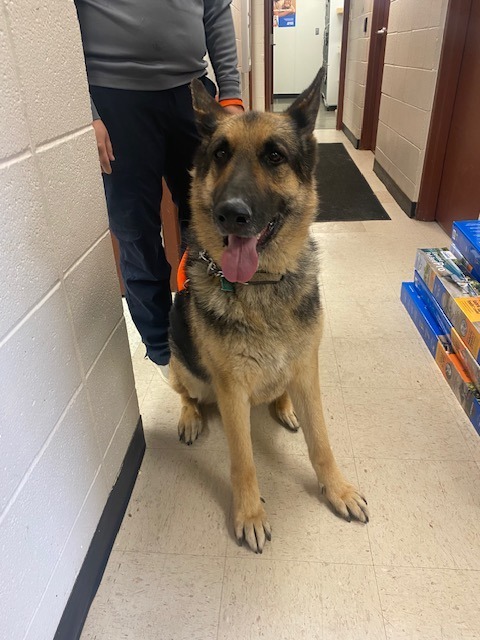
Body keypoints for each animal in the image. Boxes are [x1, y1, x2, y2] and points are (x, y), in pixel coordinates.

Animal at [169, 69, 368, 552]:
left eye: (274, 155)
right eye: (220, 154)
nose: (230, 214)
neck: (260, 285)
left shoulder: (308, 369)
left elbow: (322, 442)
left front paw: (337, 489)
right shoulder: (231, 390)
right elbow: (243, 461)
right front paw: (250, 513)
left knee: (281, 390)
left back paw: (283, 404)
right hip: (179, 359)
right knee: (186, 392)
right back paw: (190, 416)